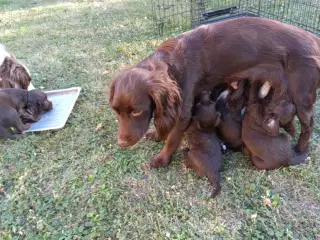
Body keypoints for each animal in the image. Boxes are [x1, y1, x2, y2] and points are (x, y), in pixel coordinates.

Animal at [109, 16, 320, 169]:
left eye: (137, 111)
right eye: (116, 111)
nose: (121, 143)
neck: (172, 65)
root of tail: (315, 39)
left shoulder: (183, 113)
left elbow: (172, 138)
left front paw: (162, 159)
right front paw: (156, 135)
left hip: (302, 95)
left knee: (308, 125)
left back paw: (299, 149)